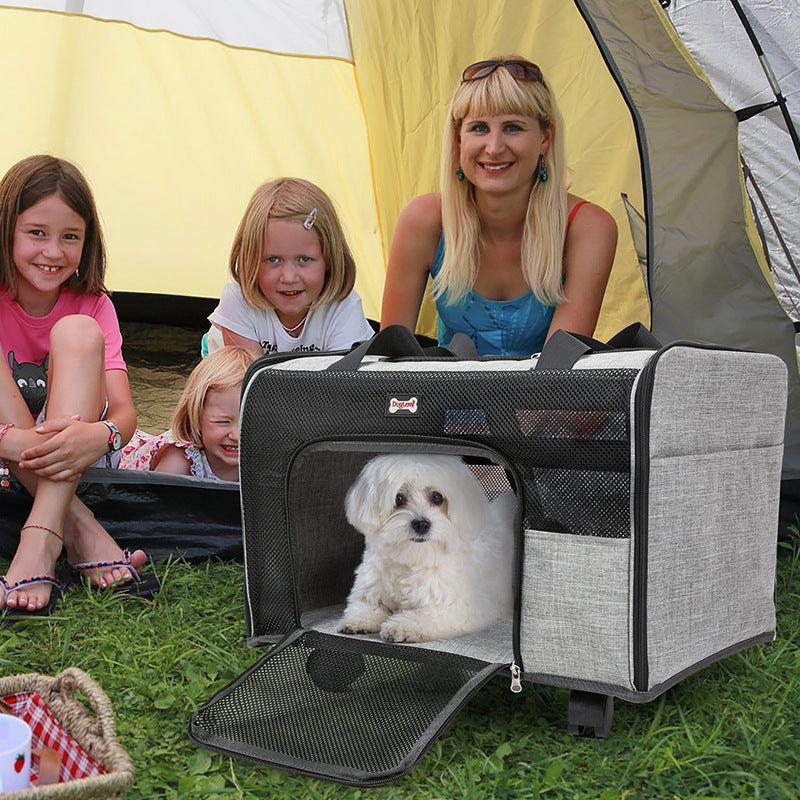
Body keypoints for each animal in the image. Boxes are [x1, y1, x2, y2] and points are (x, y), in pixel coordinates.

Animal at [336, 456, 512, 644]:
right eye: (399, 499)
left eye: (437, 497)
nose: (421, 524)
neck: (413, 559)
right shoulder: (371, 587)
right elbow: (366, 605)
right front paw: (359, 620)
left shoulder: (459, 607)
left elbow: (427, 615)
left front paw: (402, 626)